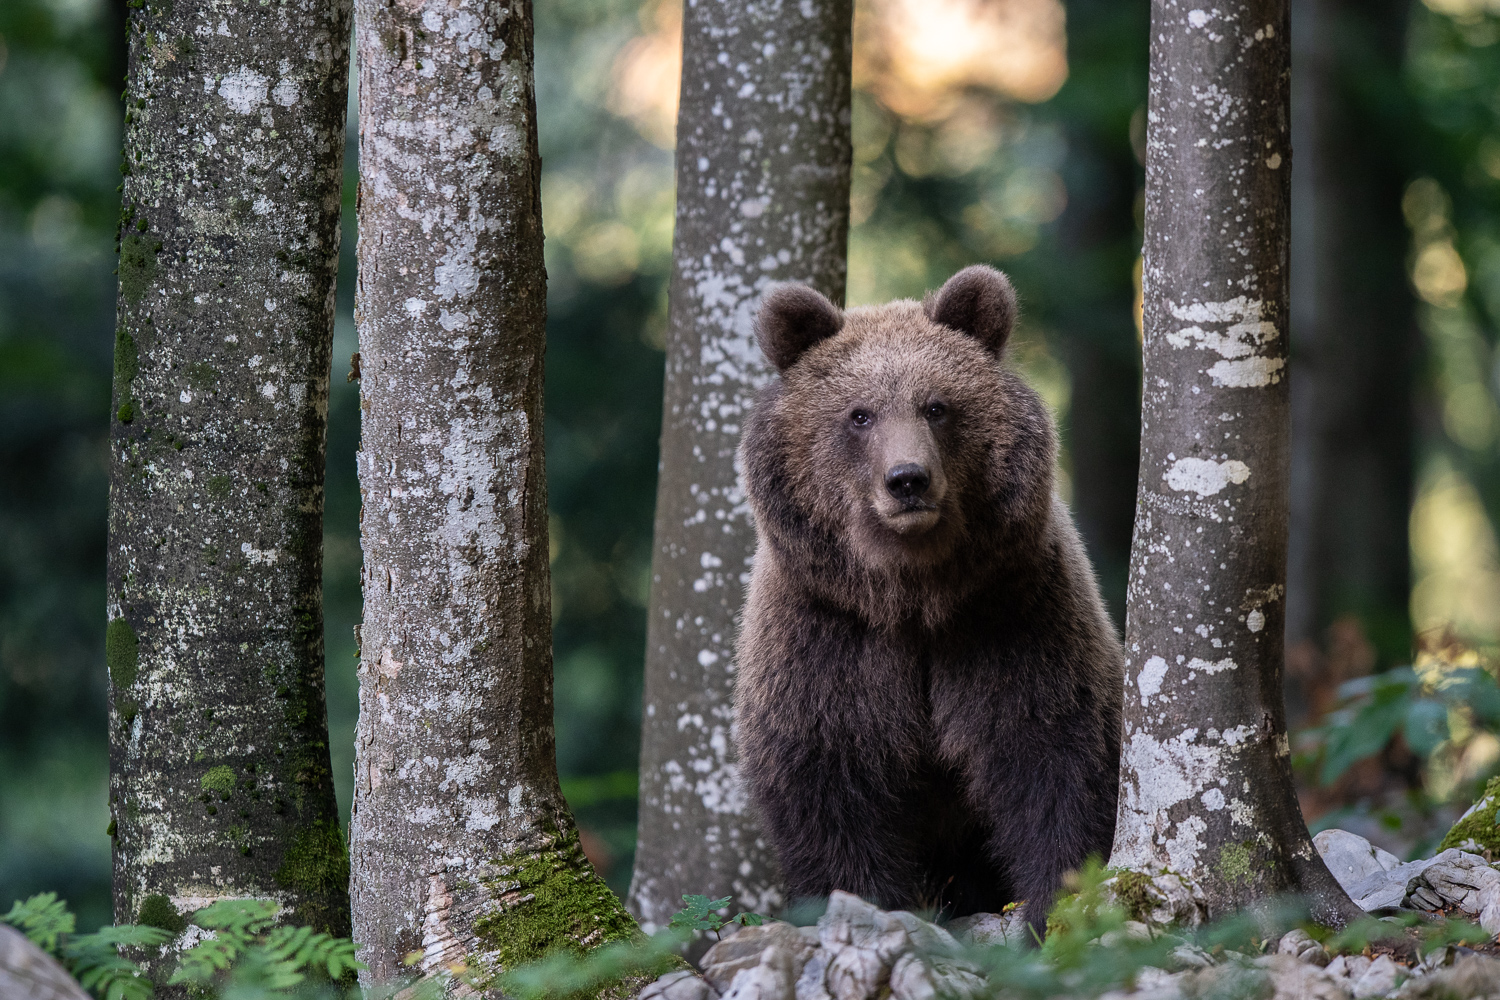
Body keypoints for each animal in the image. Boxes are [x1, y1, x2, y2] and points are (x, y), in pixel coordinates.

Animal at [732, 263, 1122, 941]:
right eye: (860, 414)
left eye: (937, 405)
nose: (908, 479)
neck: (914, 597)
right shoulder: (829, 638)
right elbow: (833, 785)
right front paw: (868, 904)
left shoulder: (1012, 618)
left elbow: (1052, 756)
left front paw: (1050, 908)